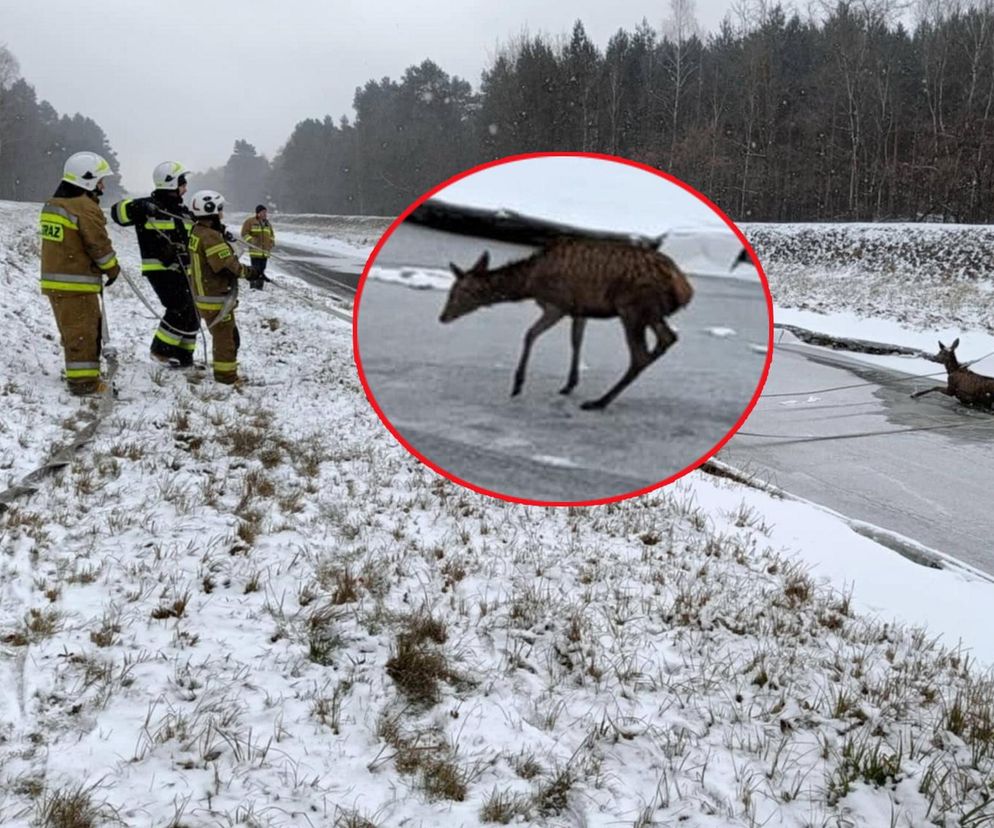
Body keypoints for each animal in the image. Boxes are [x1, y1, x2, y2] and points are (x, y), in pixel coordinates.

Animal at [436, 238, 688, 410]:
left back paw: (598, 402)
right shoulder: (580, 309)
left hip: (633, 309)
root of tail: (685, 290)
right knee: (668, 338)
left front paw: (518, 384)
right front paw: (569, 383)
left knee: (640, 355)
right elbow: (576, 341)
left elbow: (529, 334)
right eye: (451, 291)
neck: (529, 284)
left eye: (459, 292)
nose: (442, 316)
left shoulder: (558, 305)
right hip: (651, 313)